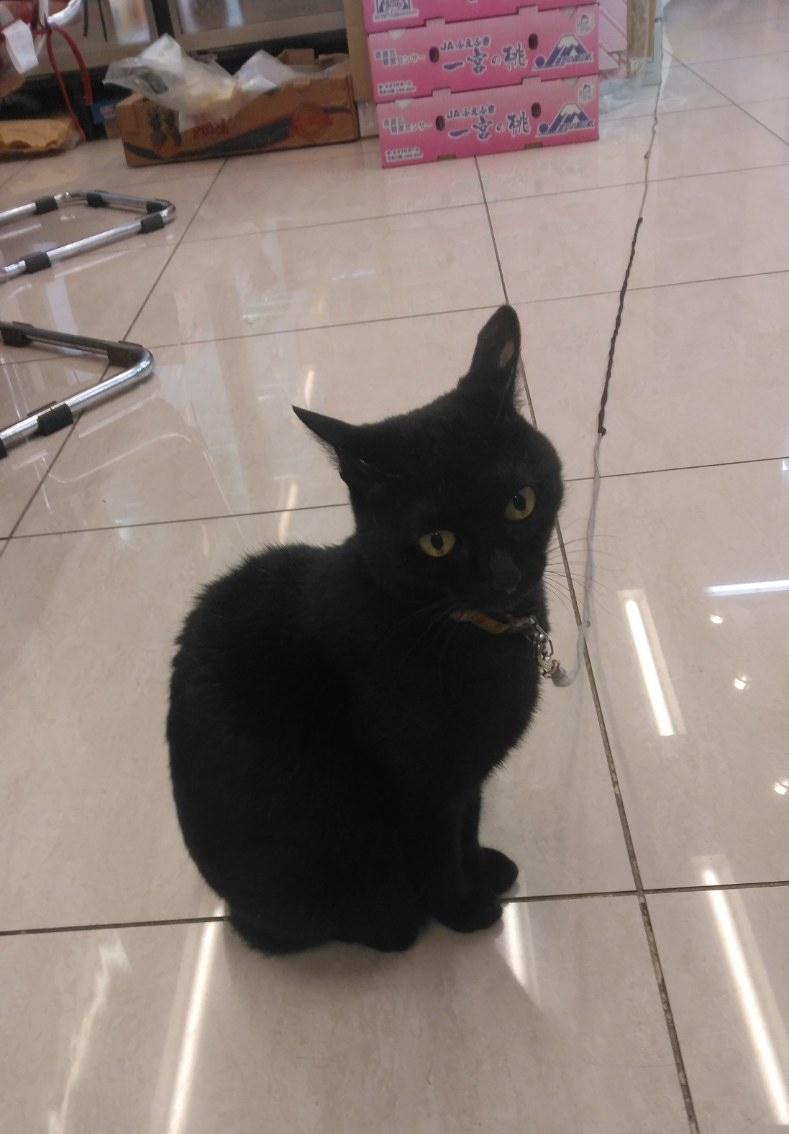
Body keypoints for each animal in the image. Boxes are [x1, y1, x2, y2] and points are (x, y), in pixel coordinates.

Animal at [167, 305, 563, 954]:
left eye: (520, 502)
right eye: (437, 541)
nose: (504, 577)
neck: (477, 635)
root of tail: (234, 911)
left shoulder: (465, 777)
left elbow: (469, 822)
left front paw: (483, 867)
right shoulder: (422, 788)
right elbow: (439, 851)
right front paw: (463, 908)